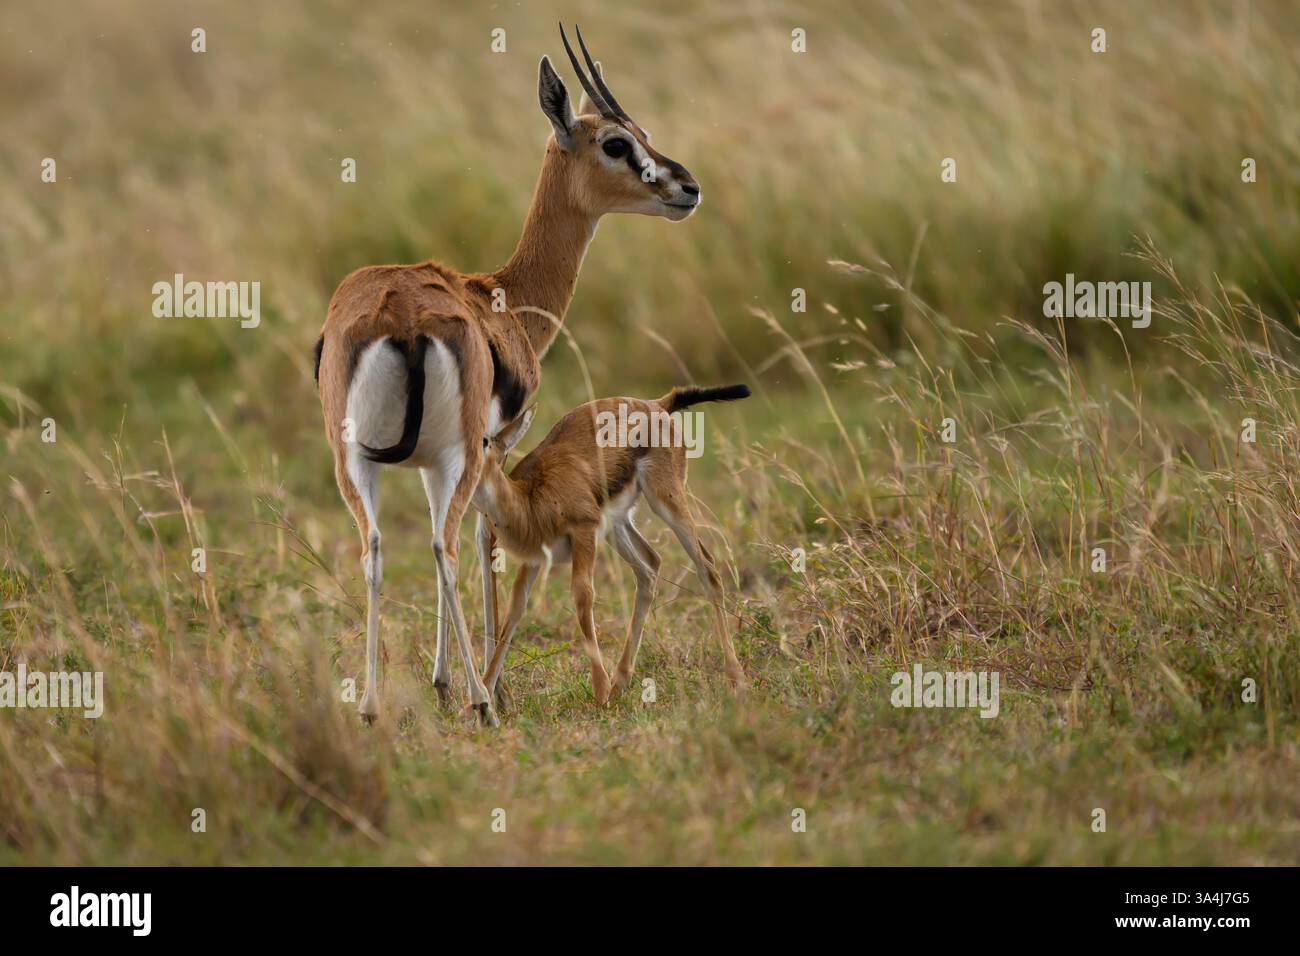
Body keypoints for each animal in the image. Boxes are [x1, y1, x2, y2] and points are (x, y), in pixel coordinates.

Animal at [313, 25, 703, 726]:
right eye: (616, 142)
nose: (687, 187)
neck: (505, 298)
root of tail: (398, 317)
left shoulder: (431, 465)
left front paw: (442, 679)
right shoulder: (495, 447)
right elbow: (483, 540)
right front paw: (484, 685)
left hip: (352, 461)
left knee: (376, 551)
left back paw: (374, 707)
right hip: (455, 458)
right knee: (442, 546)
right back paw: (481, 701)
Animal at [472, 385, 751, 705]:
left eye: (484, 442)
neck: (530, 498)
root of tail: (658, 404)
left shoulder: (584, 532)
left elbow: (582, 595)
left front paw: (599, 691)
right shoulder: (533, 561)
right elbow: (514, 611)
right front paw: (481, 697)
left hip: (666, 500)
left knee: (707, 568)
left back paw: (736, 679)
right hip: (618, 526)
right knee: (649, 567)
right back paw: (621, 682)